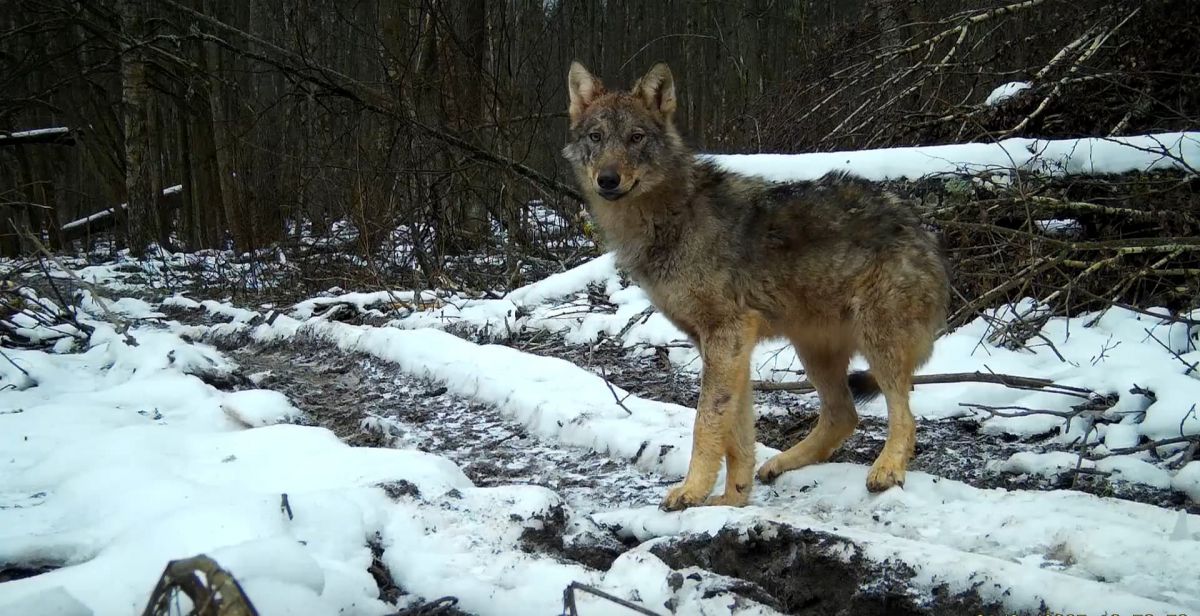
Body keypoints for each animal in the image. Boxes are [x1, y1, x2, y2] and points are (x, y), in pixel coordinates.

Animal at [564, 61, 955, 509]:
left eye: (636, 137)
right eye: (596, 137)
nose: (608, 179)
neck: (669, 217)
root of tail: (923, 230)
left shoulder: (728, 333)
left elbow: (706, 422)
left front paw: (692, 491)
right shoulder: (720, 343)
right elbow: (736, 434)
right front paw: (731, 501)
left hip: (876, 343)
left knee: (903, 415)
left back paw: (887, 470)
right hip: (814, 351)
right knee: (844, 415)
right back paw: (781, 463)